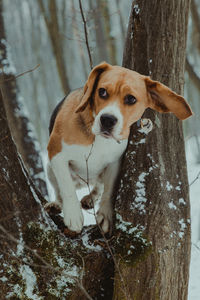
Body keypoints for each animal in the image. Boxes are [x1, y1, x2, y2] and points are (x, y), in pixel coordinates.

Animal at [46, 61, 193, 234]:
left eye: (131, 99)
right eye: (102, 92)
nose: (107, 120)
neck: (99, 138)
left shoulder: (115, 163)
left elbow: (109, 190)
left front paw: (105, 214)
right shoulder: (56, 154)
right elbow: (66, 186)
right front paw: (73, 215)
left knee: (98, 187)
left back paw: (90, 198)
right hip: (50, 169)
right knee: (59, 190)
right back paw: (57, 204)